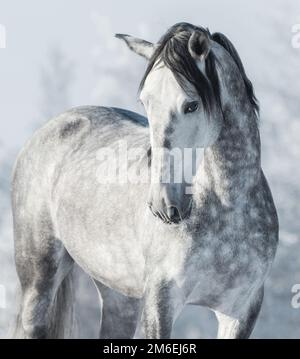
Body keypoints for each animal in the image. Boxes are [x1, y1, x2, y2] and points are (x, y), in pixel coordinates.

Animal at [11, 23, 278, 340]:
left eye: (192, 105)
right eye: (145, 102)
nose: (164, 203)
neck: (228, 209)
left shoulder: (241, 309)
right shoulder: (160, 300)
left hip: (119, 296)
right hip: (38, 278)